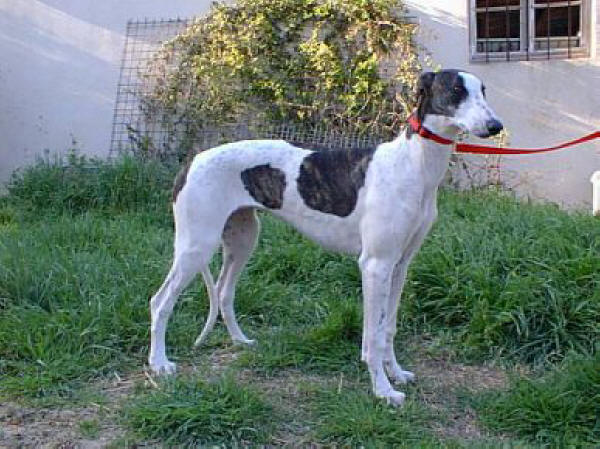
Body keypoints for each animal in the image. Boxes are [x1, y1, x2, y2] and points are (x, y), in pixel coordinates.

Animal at [148, 69, 503, 406]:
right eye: (456, 90)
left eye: (484, 91)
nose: (495, 126)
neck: (413, 164)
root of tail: (192, 161)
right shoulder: (375, 265)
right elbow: (372, 337)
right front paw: (383, 391)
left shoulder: (400, 265)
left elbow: (387, 328)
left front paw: (397, 374)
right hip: (197, 245)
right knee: (160, 302)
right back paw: (159, 363)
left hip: (243, 239)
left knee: (223, 292)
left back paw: (240, 341)